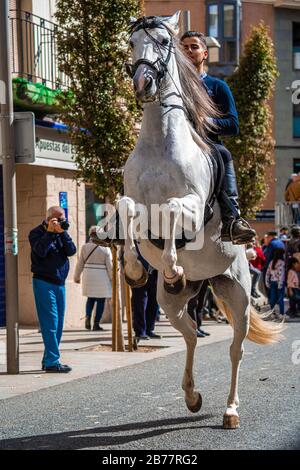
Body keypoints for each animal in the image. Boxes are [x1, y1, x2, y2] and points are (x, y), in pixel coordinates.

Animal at [118, 11, 284, 430]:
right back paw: (192, 396)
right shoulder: (135, 204)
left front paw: (173, 265)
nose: (142, 83)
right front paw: (134, 270)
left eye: (163, 41)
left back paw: (230, 411)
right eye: (131, 43)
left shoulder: (192, 206)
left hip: (238, 296)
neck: (159, 143)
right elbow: (126, 208)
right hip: (172, 304)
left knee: (236, 350)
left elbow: (174, 210)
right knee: (192, 334)